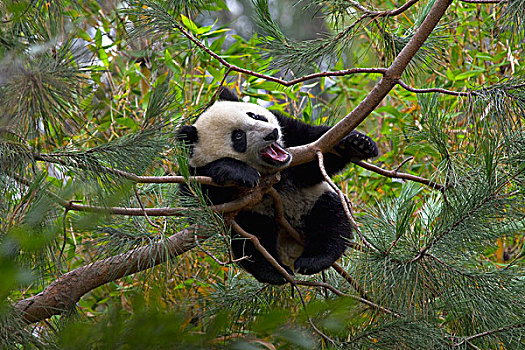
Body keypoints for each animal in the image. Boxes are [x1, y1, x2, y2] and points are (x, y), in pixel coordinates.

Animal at [177, 89, 376, 286]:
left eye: (255, 115)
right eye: (238, 136)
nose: (271, 133)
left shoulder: (291, 135)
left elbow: (315, 148)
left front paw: (357, 144)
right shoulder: (190, 167)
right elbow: (194, 203)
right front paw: (237, 171)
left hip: (316, 198)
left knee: (330, 219)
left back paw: (313, 260)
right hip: (254, 216)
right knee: (253, 240)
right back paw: (276, 271)